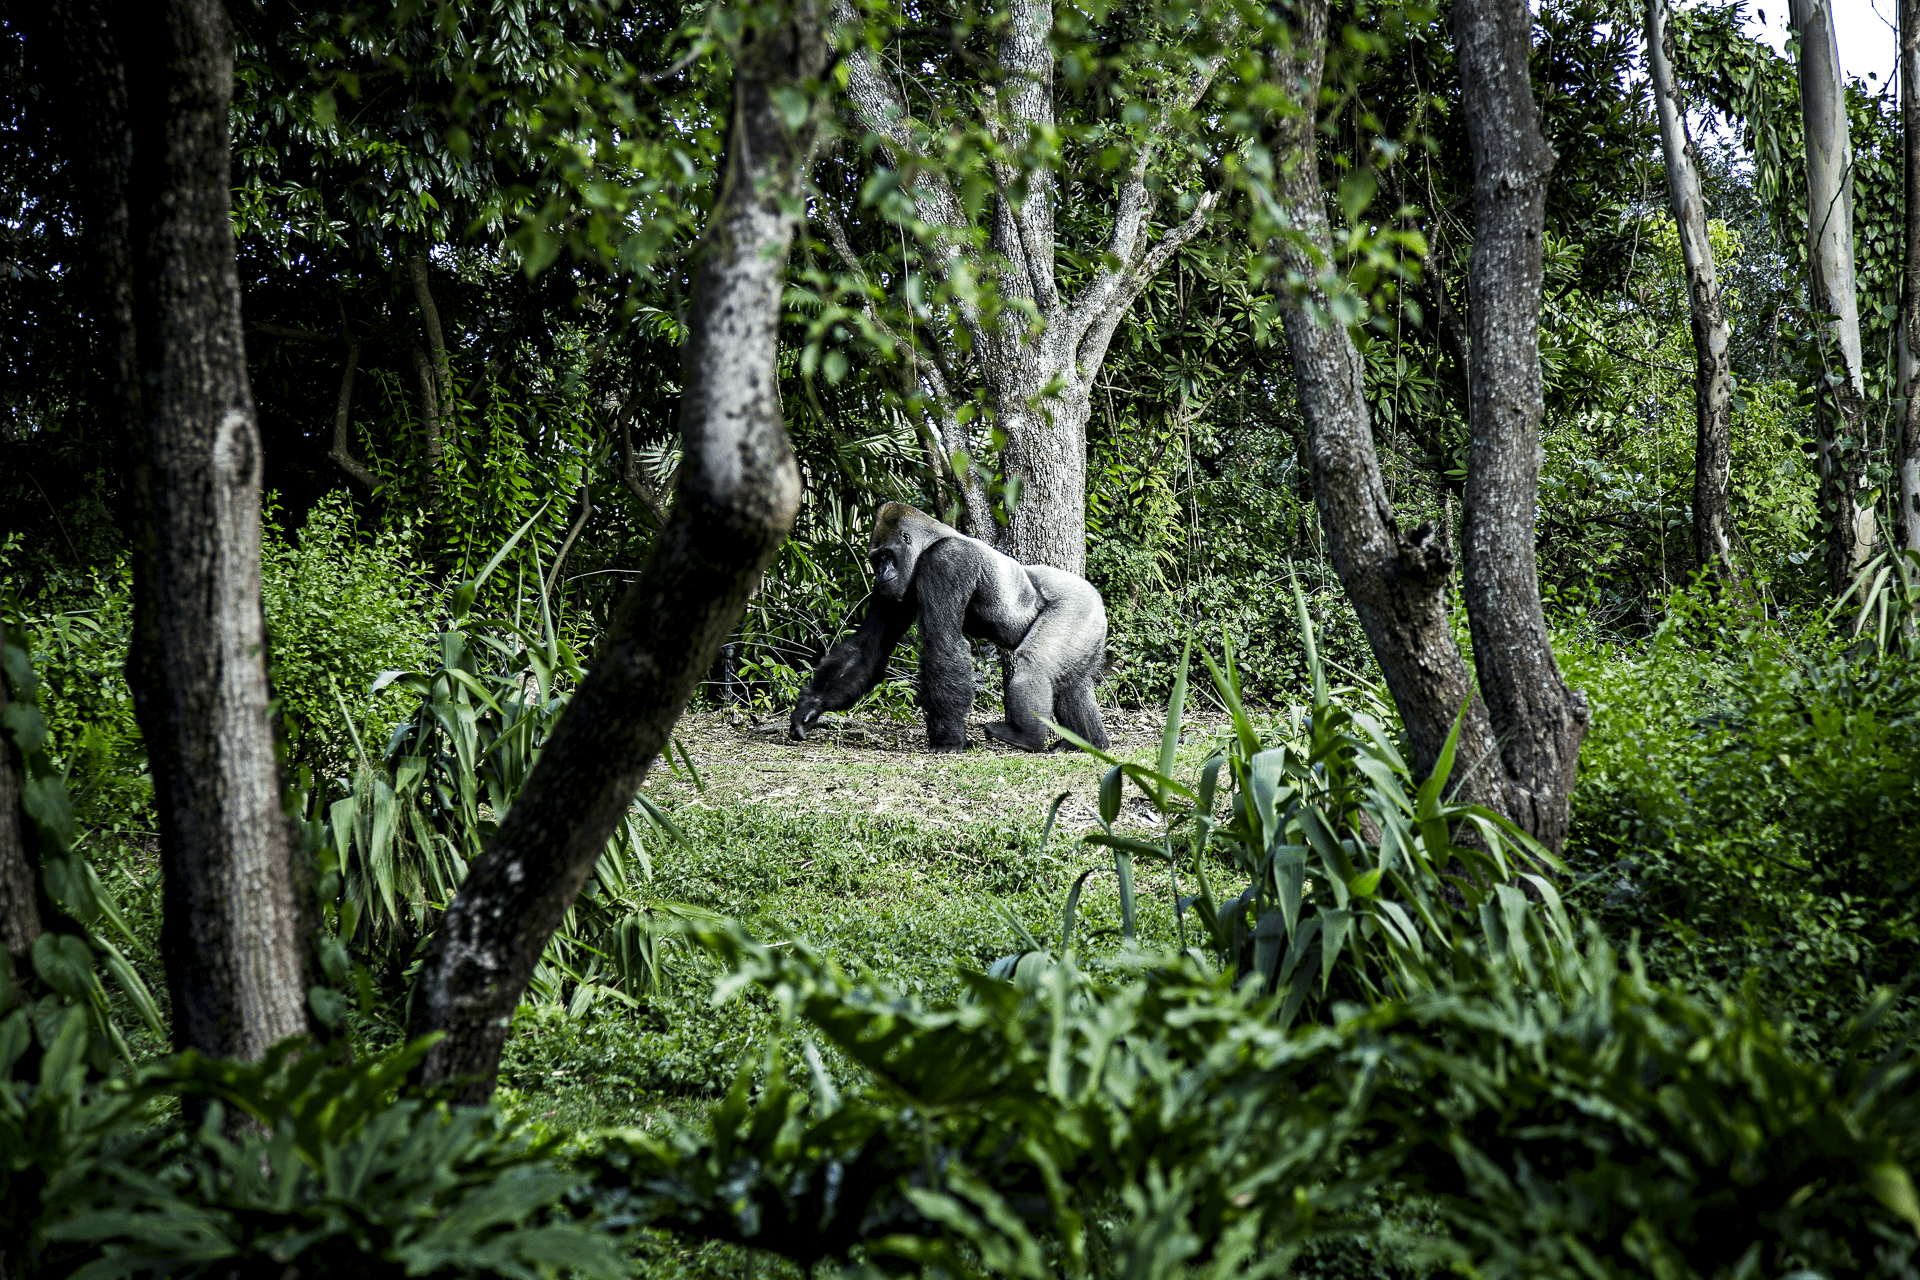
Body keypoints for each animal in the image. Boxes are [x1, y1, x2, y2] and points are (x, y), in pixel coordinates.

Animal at [789, 503, 1110, 753]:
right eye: (875, 560)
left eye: (885, 556)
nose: (880, 573)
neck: (930, 540)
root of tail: (1095, 595)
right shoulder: (893, 589)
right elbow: (869, 646)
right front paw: (811, 707)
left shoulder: (946, 561)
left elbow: (942, 643)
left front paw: (948, 740)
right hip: (1089, 622)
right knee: (1072, 683)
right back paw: (1089, 742)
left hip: (1077, 605)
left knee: (1036, 664)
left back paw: (1027, 737)